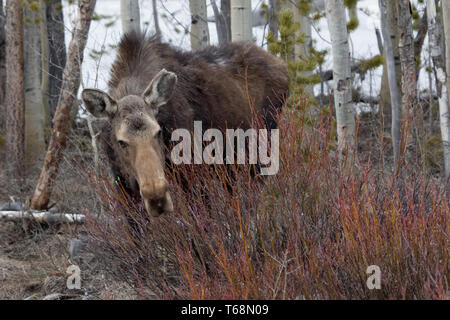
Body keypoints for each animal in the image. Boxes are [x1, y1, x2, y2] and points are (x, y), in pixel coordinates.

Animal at [81, 31, 288, 218]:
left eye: (158, 132)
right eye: (121, 141)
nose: (157, 198)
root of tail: (282, 66)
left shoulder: (193, 176)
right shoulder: (122, 186)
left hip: (257, 153)